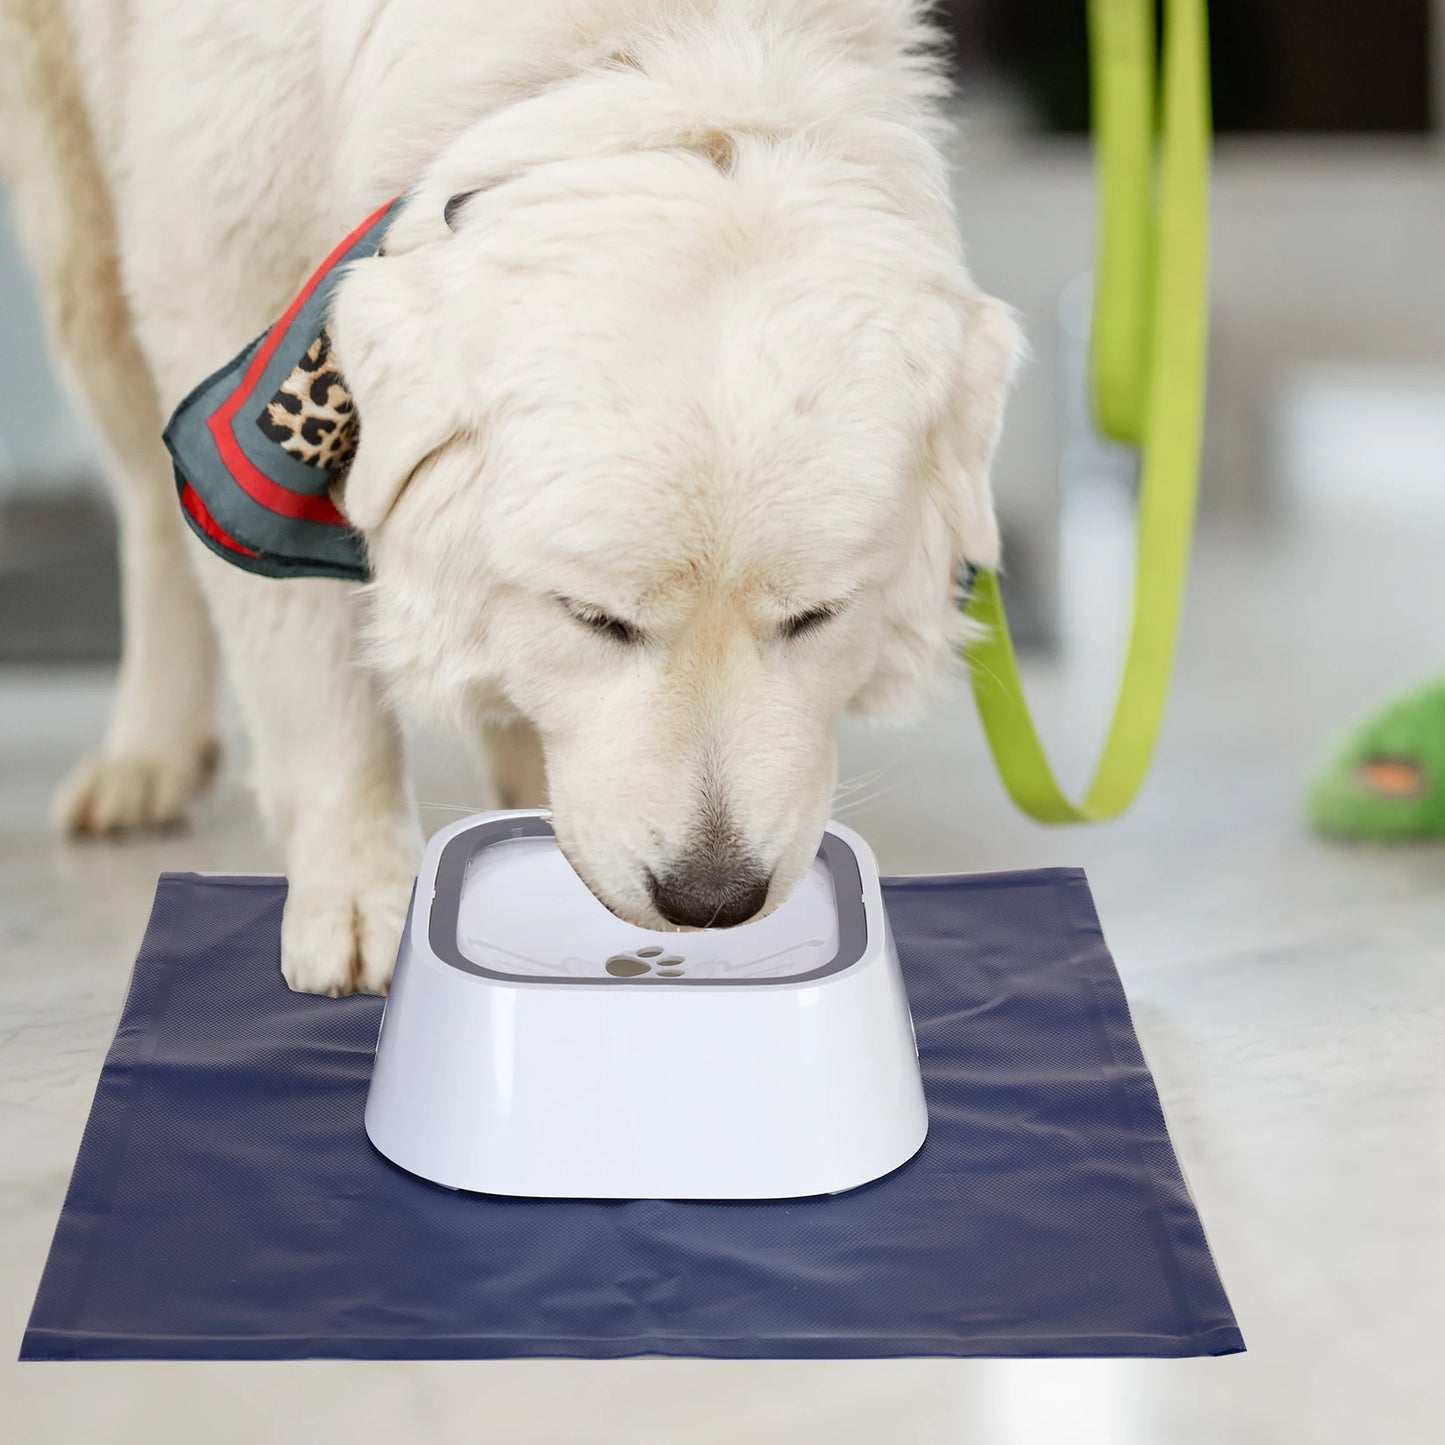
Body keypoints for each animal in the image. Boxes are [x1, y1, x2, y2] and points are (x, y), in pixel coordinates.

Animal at [2, 0, 1017, 994]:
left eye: (815, 618)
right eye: (596, 620)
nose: (711, 899)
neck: (651, 46)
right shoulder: (225, 294)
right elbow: (309, 668)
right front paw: (360, 894)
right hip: (85, 256)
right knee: (150, 508)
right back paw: (149, 754)